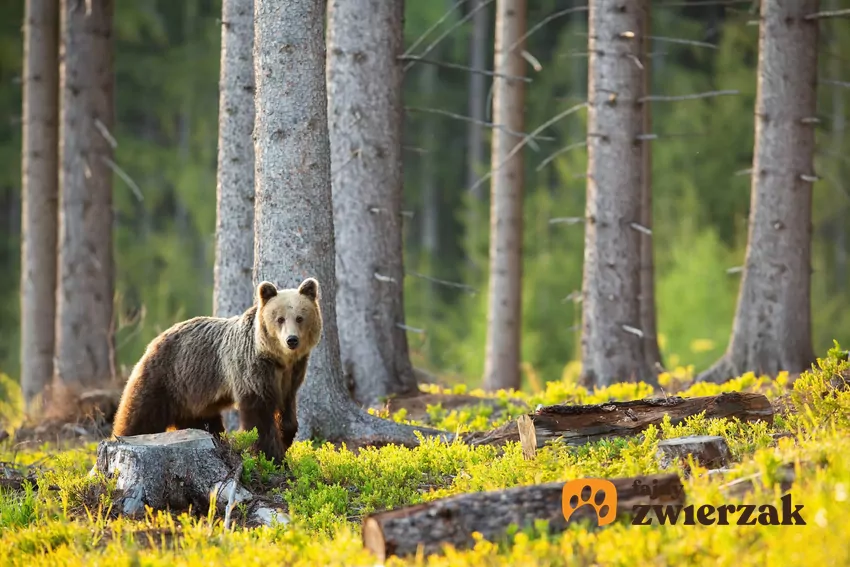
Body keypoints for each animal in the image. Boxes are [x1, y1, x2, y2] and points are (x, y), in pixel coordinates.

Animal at [111, 278, 322, 464]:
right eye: (280, 319)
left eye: (300, 317)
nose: (292, 340)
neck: (278, 359)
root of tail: (155, 340)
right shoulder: (252, 369)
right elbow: (259, 417)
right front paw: (272, 455)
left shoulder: (292, 374)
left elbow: (288, 410)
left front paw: (286, 437)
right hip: (166, 376)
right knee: (141, 414)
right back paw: (123, 437)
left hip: (195, 395)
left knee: (200, 422)